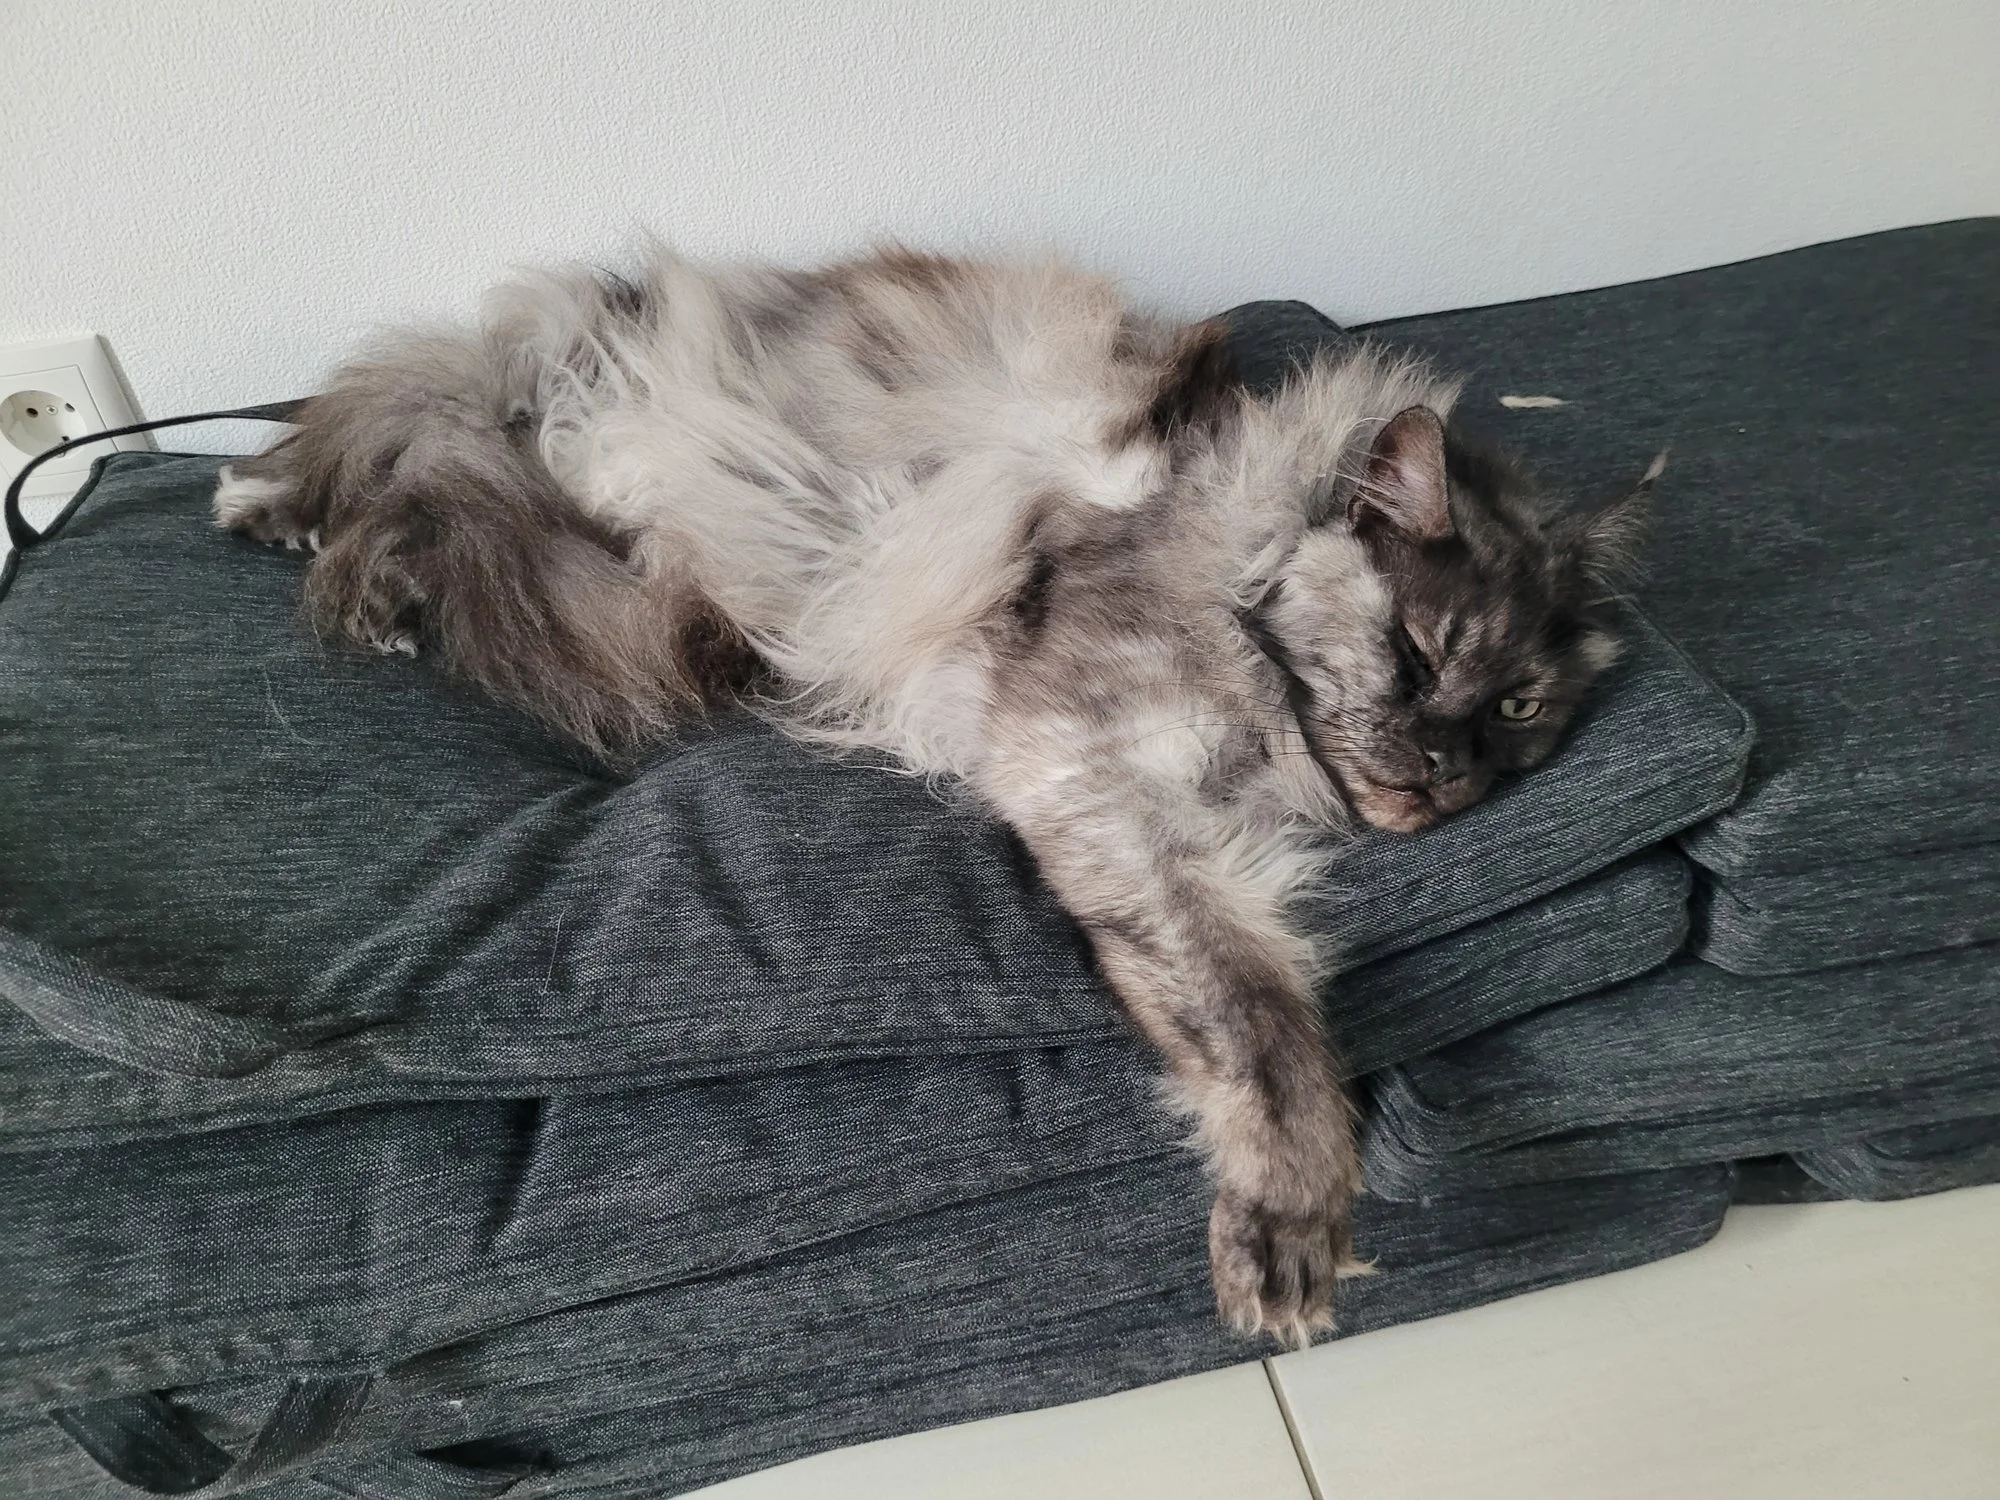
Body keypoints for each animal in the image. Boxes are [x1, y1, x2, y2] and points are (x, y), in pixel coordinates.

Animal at [214, 244, 1652, 1346]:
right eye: (1416, 653)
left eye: (1517, 710)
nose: (1445, 770)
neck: (1231, 553)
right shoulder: (1095, 774)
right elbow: (1261, 1030)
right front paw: (1289, 1221)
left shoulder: (1182, 835)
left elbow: (1235, 1017)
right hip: (626, 457)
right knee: (410, 445)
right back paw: (276, 510)